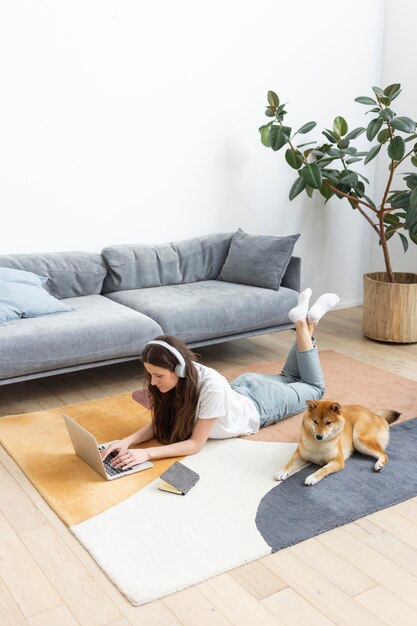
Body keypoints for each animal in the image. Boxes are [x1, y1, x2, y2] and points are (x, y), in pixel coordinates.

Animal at [272, 398, 400, 486]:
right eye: (315, 421)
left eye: (328, 423)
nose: (319, 436)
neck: (318, 445)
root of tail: (378, 416)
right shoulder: (300, 455)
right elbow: (289, 463)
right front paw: (282, 472)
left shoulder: (338, 461)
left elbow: (323, 469)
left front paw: (312, 477)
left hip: (358, 439)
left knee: (384, 454)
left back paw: (379, 465)